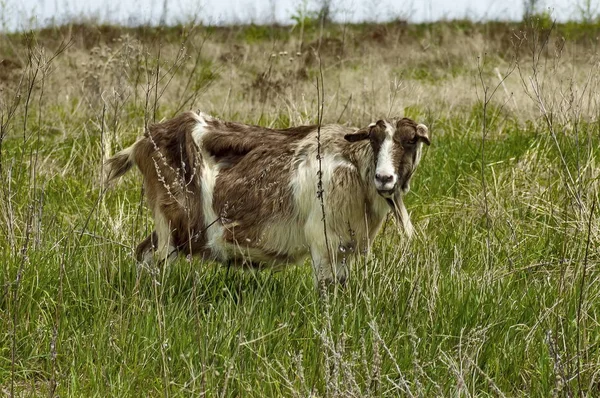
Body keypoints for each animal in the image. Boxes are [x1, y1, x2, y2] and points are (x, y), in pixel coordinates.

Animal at [105, 112, 428, 284]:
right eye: (374, 140)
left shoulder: (344, 247)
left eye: (411, 141)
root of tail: (144, 141)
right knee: (152, 257)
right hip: (171, 223)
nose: (384, 178)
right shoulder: (323, 241)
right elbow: (327, 287)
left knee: (144, 254)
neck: (352, 165)